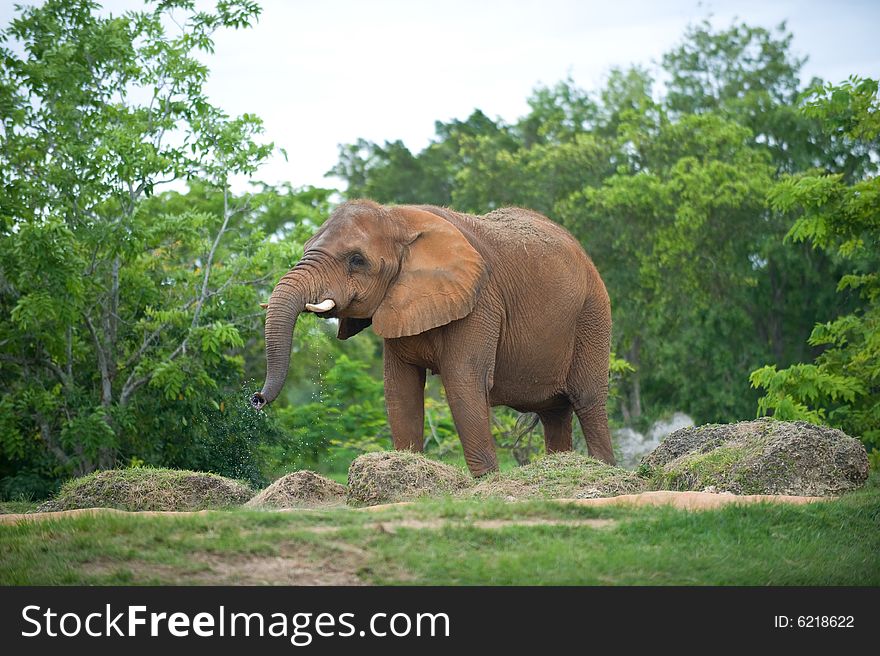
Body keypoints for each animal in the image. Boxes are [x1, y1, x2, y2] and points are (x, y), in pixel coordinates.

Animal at [251, 200, 616, 476]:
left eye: (357, 260)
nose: (256, 399)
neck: (398, 218)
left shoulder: (480, 302)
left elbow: (463, 382)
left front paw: (486, 484)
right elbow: (400, 389)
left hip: (592, 314)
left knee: (588, 401)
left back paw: (604, 470)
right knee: (554, 412)